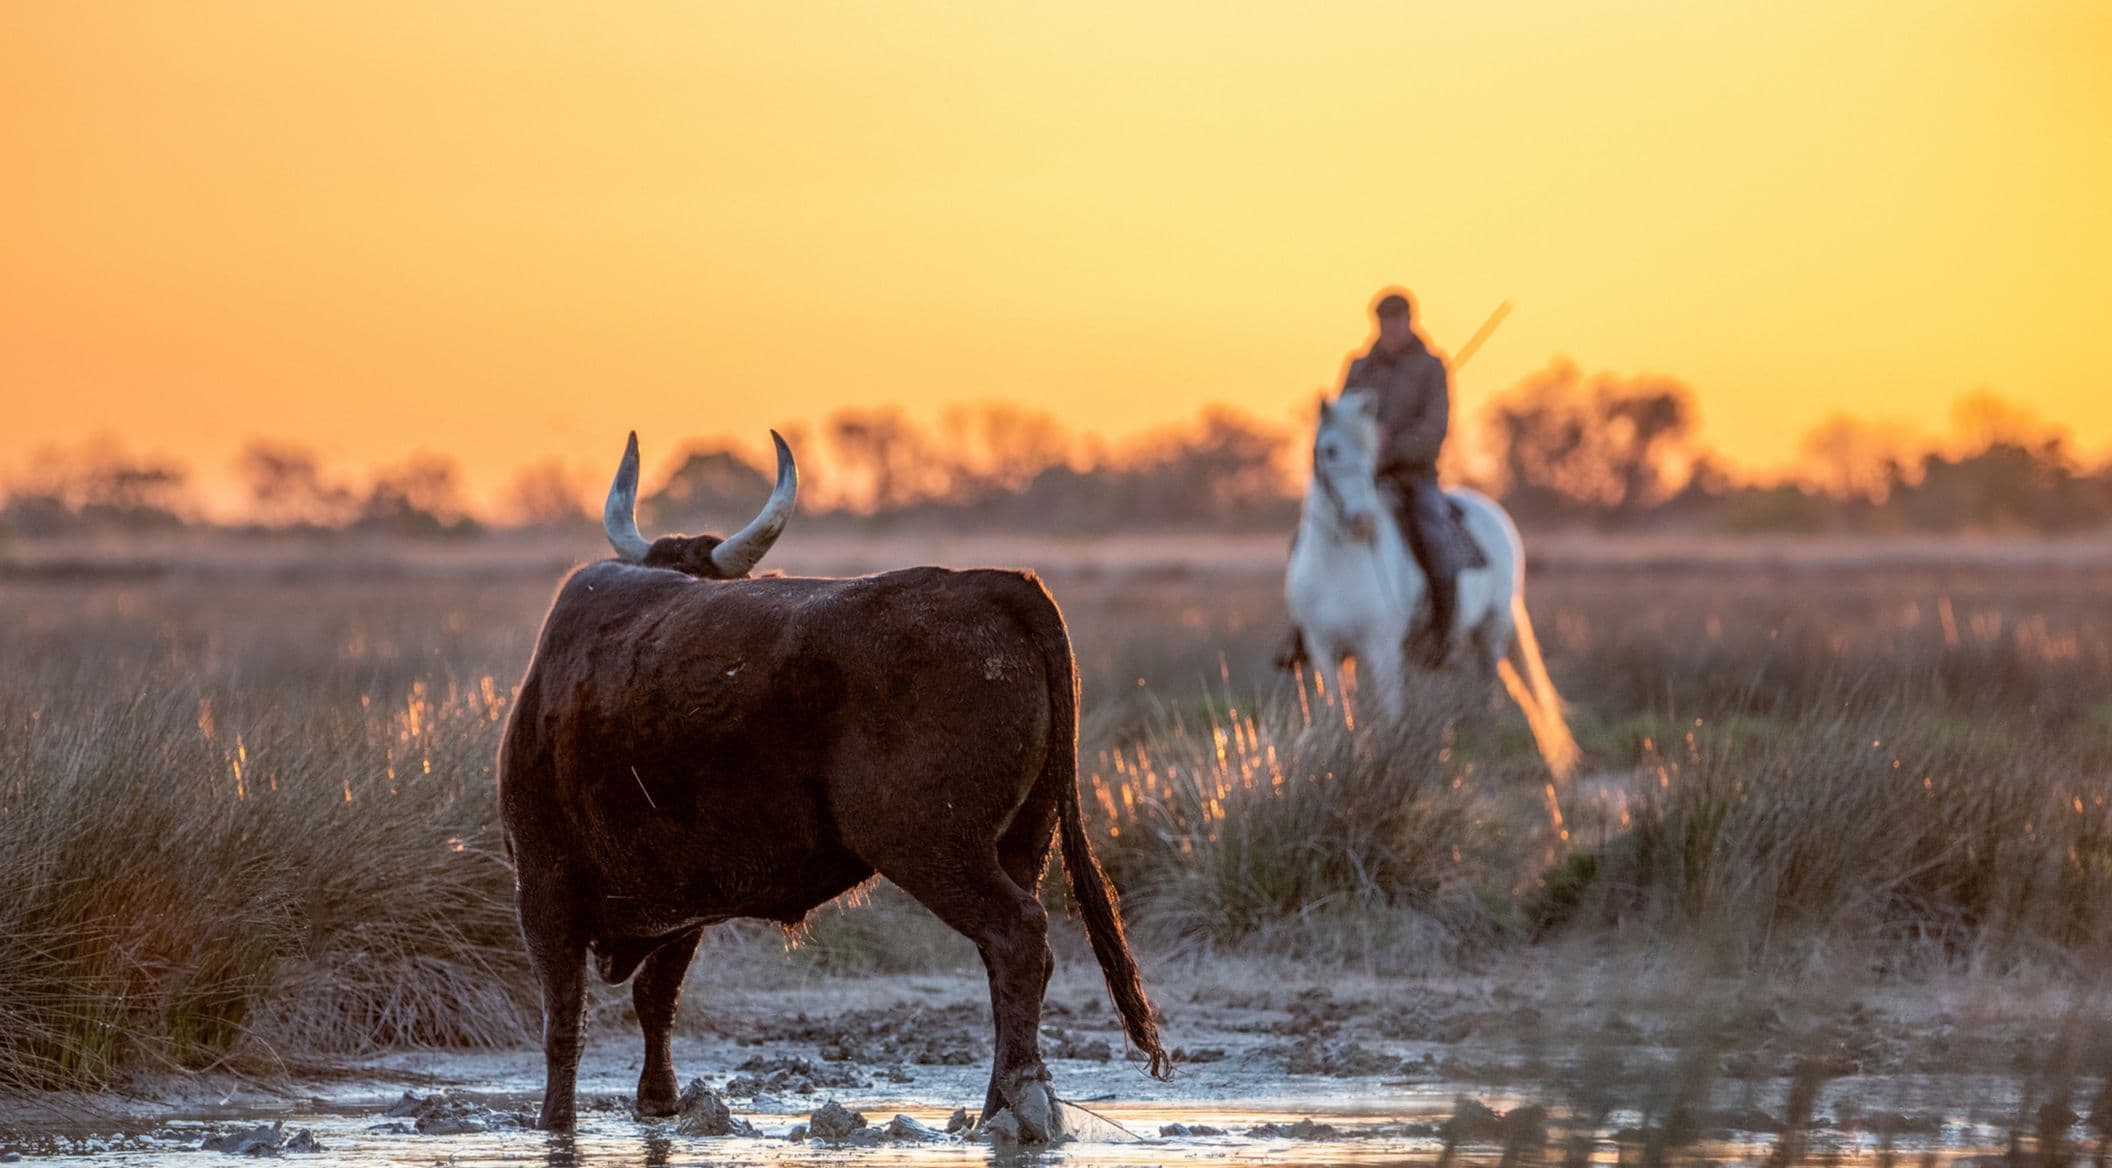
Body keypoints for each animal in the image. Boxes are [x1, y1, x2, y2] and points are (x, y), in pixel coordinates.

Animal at [496, 544, 1174, 1132]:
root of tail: (993, 584)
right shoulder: (682, 900)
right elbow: (656, 999)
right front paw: (656, 1104)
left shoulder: (543, 884)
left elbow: (565, 1017)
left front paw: (554, 1124)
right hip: (1019, 846)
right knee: (1009, 961)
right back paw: (997, 1106)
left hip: (935, 851)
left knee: (1019, 937)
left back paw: (1017, 1099)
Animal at [1275, 390, 1579, 781]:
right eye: (1329, 450)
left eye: (1370, 452)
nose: (1362, 519)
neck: (1340, 564)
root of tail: (1492, 511)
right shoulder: (1325, 650)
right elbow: (1340, 713)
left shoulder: (1382, 648)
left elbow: (1390, 714)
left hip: (1491, 631)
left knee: (1489, 698)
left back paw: (1488, 763)